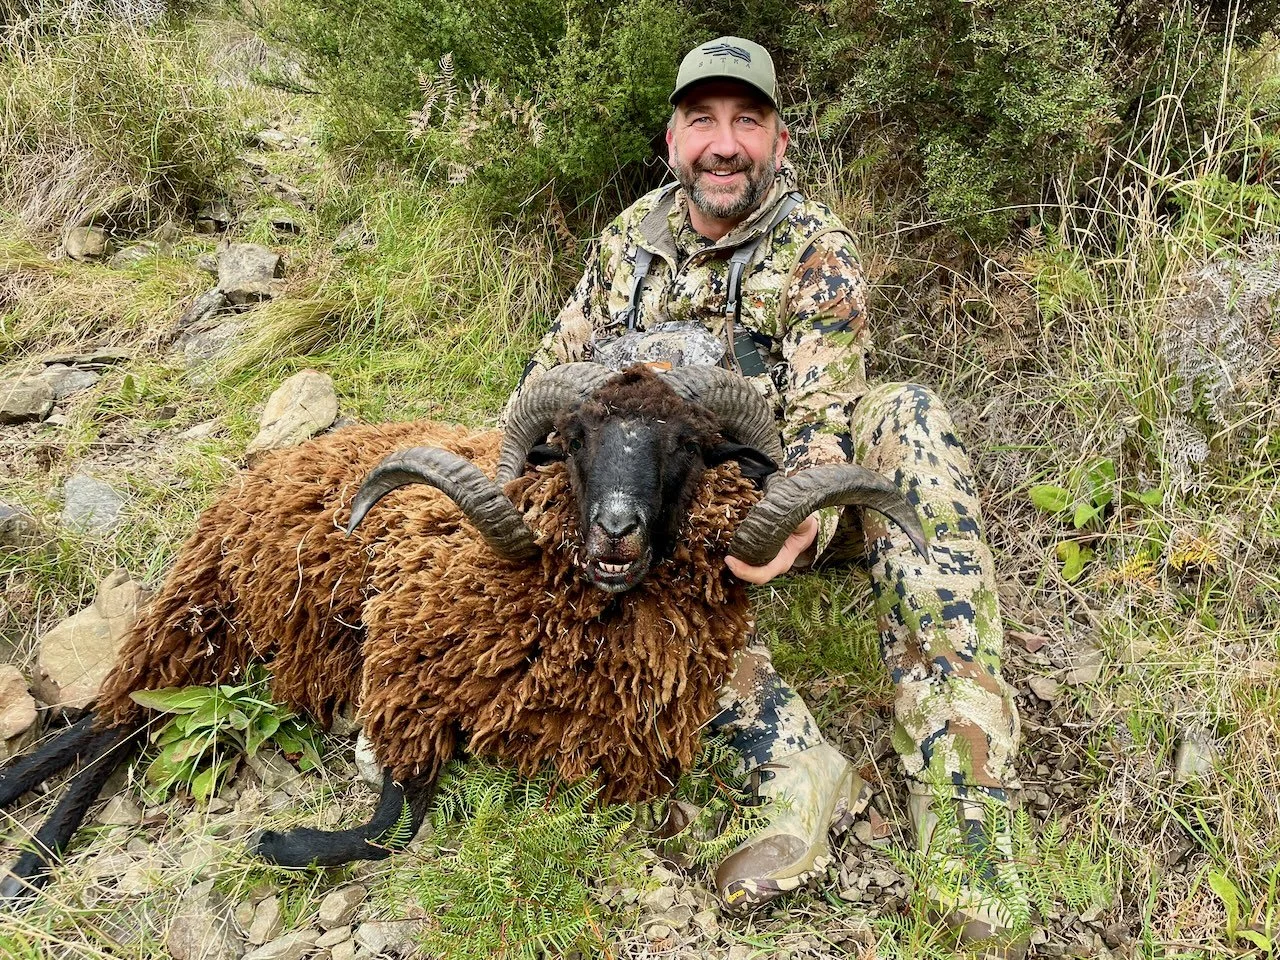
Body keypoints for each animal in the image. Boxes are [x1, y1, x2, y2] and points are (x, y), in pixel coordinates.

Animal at [0, 363, 927, 899]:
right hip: (211, 610)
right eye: (575, 438)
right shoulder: (404, 681)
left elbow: (397, 825)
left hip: (237, 647)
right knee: (118, 723)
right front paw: (277, 841)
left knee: (111, 719)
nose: (615, 531)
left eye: (690, 448)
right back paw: (30, 864)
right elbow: (390, 824)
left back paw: (19, 810)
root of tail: (263, 471)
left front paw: (278, 841)